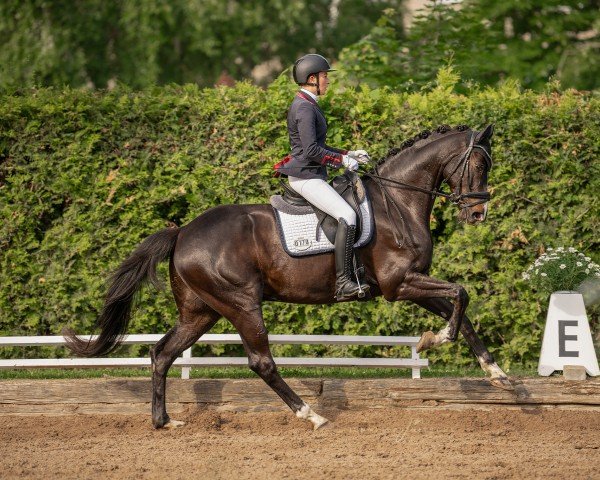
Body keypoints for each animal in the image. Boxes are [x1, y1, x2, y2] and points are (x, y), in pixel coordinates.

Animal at [68, 122, 512, 430]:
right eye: (478, 163)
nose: (478, 213)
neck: (397, 202)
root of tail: (182, 233)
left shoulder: (412, 282)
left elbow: (460, 309)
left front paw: (497, 374)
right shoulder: (397, 283)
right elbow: (461, 294)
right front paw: (434, 339)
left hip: (200, 311)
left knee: (162, 353)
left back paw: (164, 421)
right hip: (242, 303)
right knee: (261, 362)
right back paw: (311, 415)